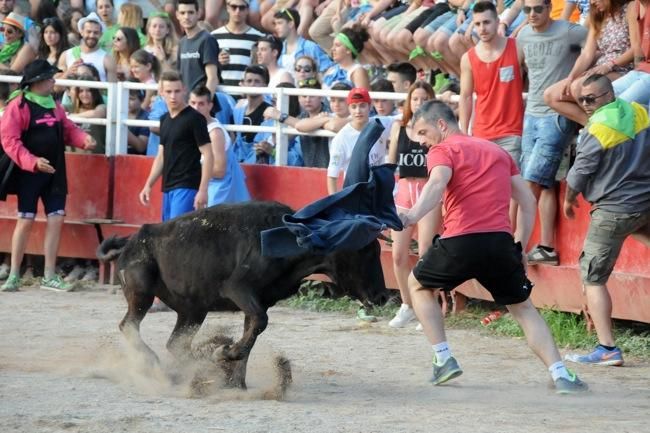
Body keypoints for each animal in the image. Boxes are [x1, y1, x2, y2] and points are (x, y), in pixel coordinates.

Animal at [97, 201, 390, 386]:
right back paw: (155, 362)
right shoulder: (238, 289)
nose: (383, 296)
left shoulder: (259, 301)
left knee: (176, 343)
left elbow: (252, 333)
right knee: (129, 325)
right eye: (366, 250)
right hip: (143, 293)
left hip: (193, 310)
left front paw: (235, 379)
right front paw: (224, 355)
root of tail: (133, 239)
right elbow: (259, 324)